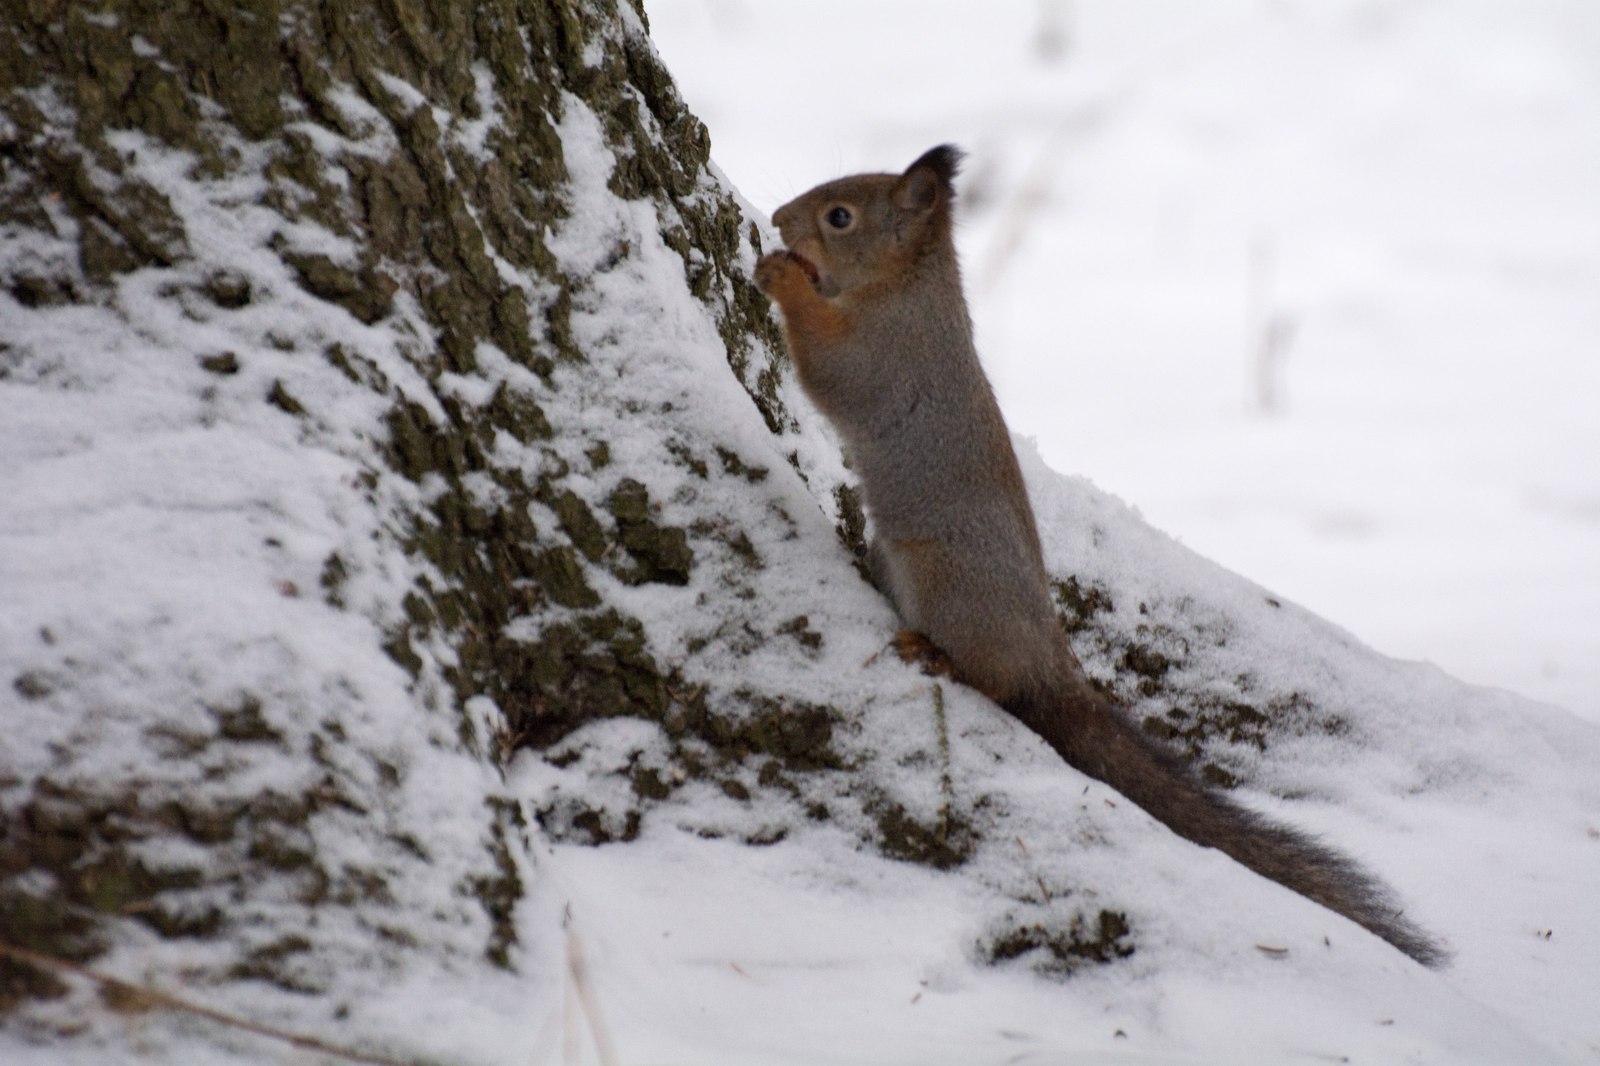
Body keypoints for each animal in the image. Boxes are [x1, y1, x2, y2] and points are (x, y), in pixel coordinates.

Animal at [755, 145, 1446, 966]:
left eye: (840, 216)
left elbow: (828, 367)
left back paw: (939, 655)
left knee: (996, 682)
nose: (778, 218)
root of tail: (1054, 669)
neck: (907, 289)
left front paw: (781, 275)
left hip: (947, 579)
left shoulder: (882, 356)